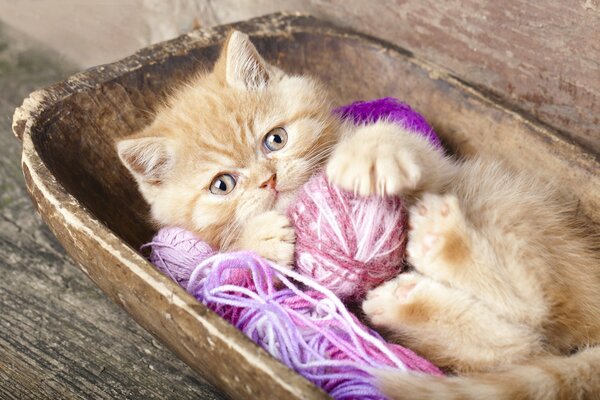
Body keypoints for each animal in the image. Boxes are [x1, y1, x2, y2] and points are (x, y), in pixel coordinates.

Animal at [117, 30, 600, 396]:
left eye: (276, 139)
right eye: (223, 185)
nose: (268, 180)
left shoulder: (437, 165)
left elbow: (403, 144)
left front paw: (369, 153)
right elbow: (221, 266)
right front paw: (256, 239)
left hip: (505, 204)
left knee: (534, 307)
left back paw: (441, 244)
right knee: (520, 343)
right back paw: (411, 294)